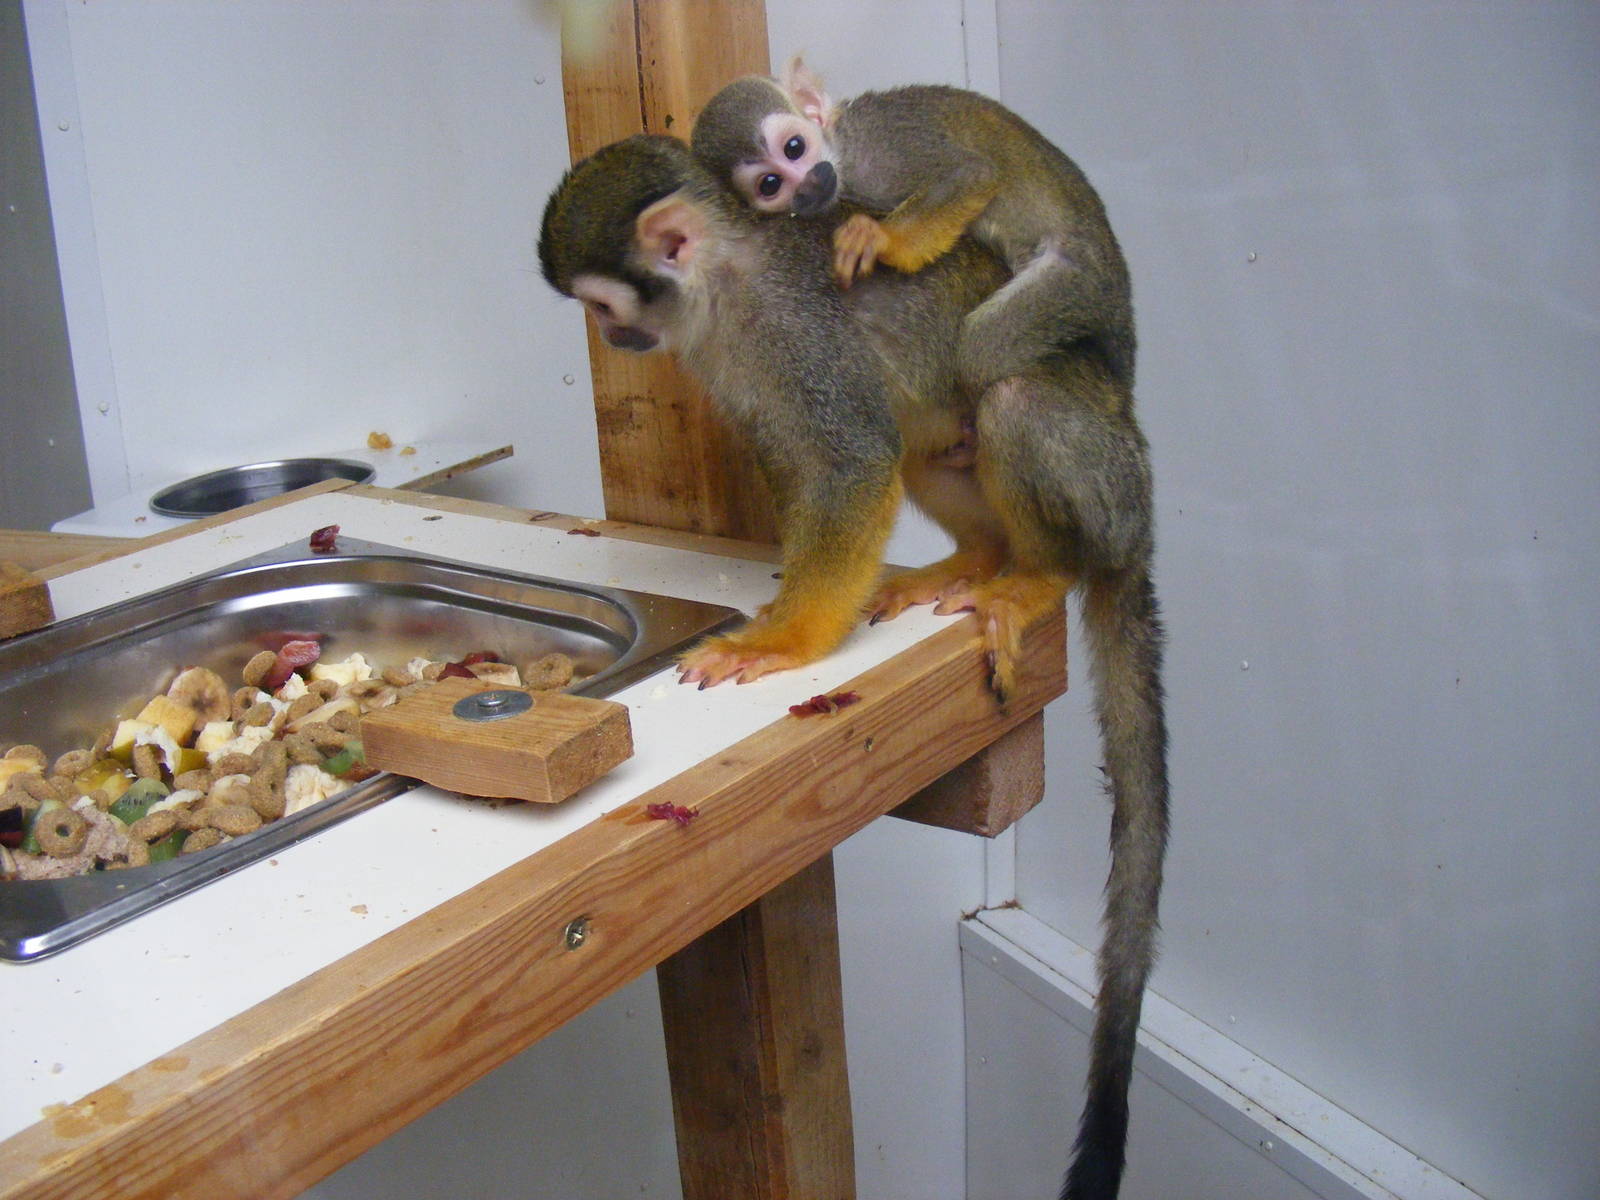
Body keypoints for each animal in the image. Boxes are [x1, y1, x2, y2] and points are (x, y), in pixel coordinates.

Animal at [539, 130, 1167, 1200]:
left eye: (603, 303)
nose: (612, 342)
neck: (725, 278)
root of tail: (1138, 520)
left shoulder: (793, 334)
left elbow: (850, 461)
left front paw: (781, 642)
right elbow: (806, 466)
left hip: (1105, 481)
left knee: (1003, 396)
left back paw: (1035, 575)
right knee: (930, 437)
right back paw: (975, 562)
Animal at [690, 56, 1135, 398]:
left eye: (794, 148)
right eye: (771, 185)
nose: (810, 186)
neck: (840, 146)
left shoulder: (882, 148)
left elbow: (970, 173)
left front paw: (880, 239)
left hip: (1078, 279)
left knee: (980, 354)